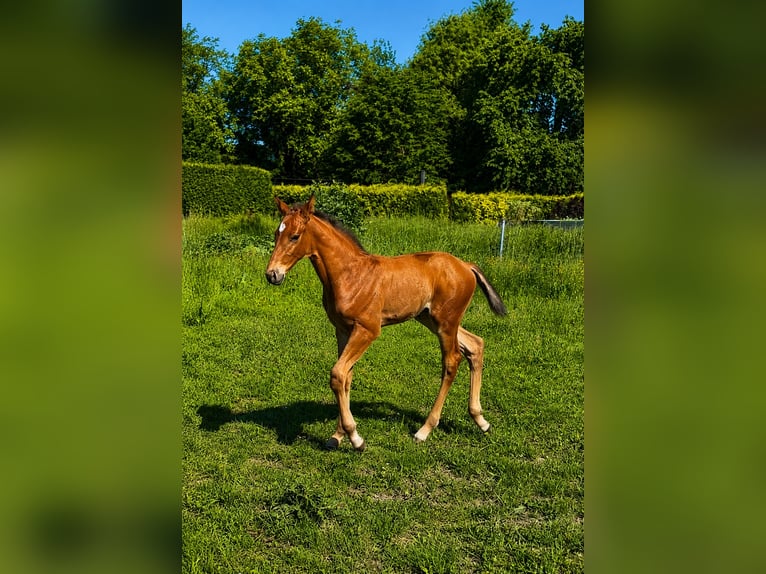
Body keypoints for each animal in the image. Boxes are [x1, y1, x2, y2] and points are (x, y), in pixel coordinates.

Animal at [265, 195, 507, 451]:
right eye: (276, 234)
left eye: (295, 236)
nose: (272, 275)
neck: (350, 275)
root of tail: (466, 265)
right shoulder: (342, 330)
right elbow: (346, 376)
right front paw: (338, 435)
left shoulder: (368, 330)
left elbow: (338, 374)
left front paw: (356, 438)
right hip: (431, 318)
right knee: (475, 345)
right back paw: (481, 420)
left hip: (446, 322)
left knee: (452, 360)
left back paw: (424, 429)